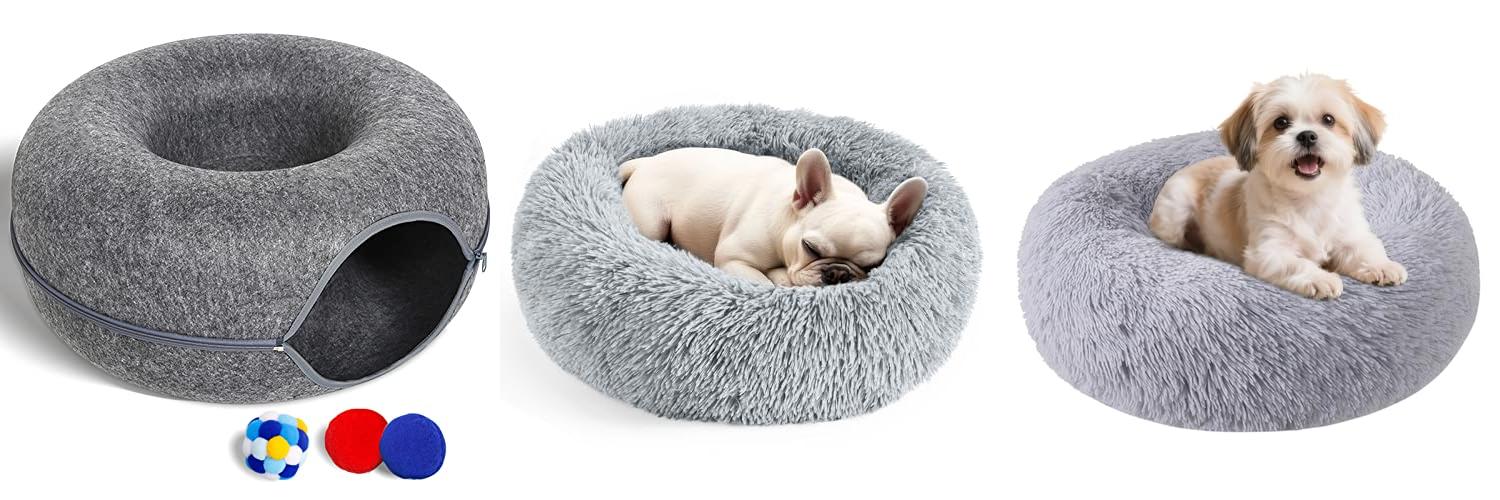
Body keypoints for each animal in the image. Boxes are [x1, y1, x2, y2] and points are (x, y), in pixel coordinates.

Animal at [620, 147, 926, 286]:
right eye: (810, 248)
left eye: (874, 264)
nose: (838, 273)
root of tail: (646, 162)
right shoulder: (735, 259)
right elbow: (764, 282)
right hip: (652, 222)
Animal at [1148, 74, 1406, 299]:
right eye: (1281, 122)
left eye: (1329, 120)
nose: (1307, 135)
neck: (1309, 199)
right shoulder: (1269, 251)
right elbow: (1297, 264)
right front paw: (1320, 278)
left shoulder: (1349, 233)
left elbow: (1365, 248)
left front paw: (1382, 266)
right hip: (1174, 211)